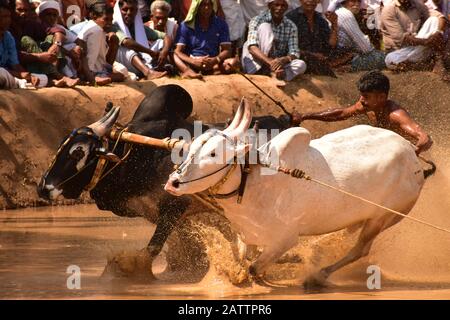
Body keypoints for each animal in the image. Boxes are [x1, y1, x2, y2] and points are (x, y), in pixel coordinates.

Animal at [37, 85, 292, 278]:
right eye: (60, 145)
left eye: (78, 152)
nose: (43, 188)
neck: (137, 156)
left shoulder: (174, 207)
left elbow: (153, 248)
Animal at [164, 99, 428, 286]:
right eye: (192, 147)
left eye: (213, 153)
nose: (173, 183)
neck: (253, 184)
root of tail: (412, 156)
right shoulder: (247, 234)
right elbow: (245, 258)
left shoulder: (285, 239)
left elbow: (254, 267)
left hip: (384, 217)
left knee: (360, 249)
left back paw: (319, 274)